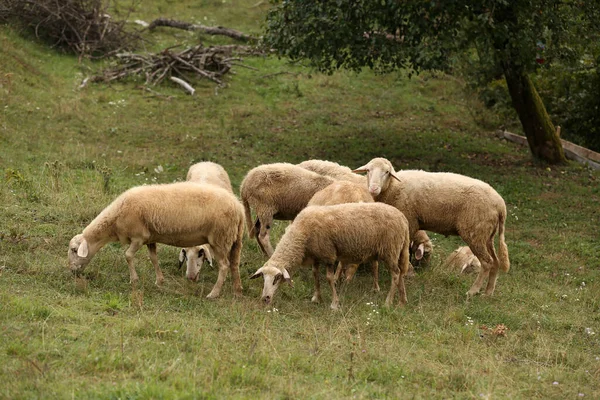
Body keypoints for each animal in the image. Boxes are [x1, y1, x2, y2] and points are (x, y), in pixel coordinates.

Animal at [65, 183, 244, 298]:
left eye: (74, 250)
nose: (72, 271)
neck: (115, 220)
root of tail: (239, 208)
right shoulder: (150, 238)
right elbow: (153, 258)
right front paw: (159, 281)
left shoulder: (138, 237)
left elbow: (128, 255)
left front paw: (134, 280)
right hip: (235, 239)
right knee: (234, 264)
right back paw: (237, 290)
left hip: (220, 238)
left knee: (224, 266)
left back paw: (213, 293)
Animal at [250, 203, 412, 310]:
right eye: (263, 278)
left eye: (277, 278)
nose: (265, 298)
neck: (301, 234)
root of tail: (403, 219)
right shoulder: (316, 256)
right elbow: (315, 275)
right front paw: (316, 298)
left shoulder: (328, 254)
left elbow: (329, 278)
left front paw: (334, 304)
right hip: (398, 250)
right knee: (401, 273)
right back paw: (402, 302)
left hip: (390, 249)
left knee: (396, 274)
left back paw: (388, 302)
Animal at [354, 158, 508, 296]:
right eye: (368, 171)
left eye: (387, 172)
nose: (373, 188)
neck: (394, 187)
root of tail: (501, 205)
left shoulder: (409, 221)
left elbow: (405, 251)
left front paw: (408, 272)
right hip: (486, 235)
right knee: (496, 262)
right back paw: (488, 293)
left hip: (475, 232)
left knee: (487, 262)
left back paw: (472, 291)